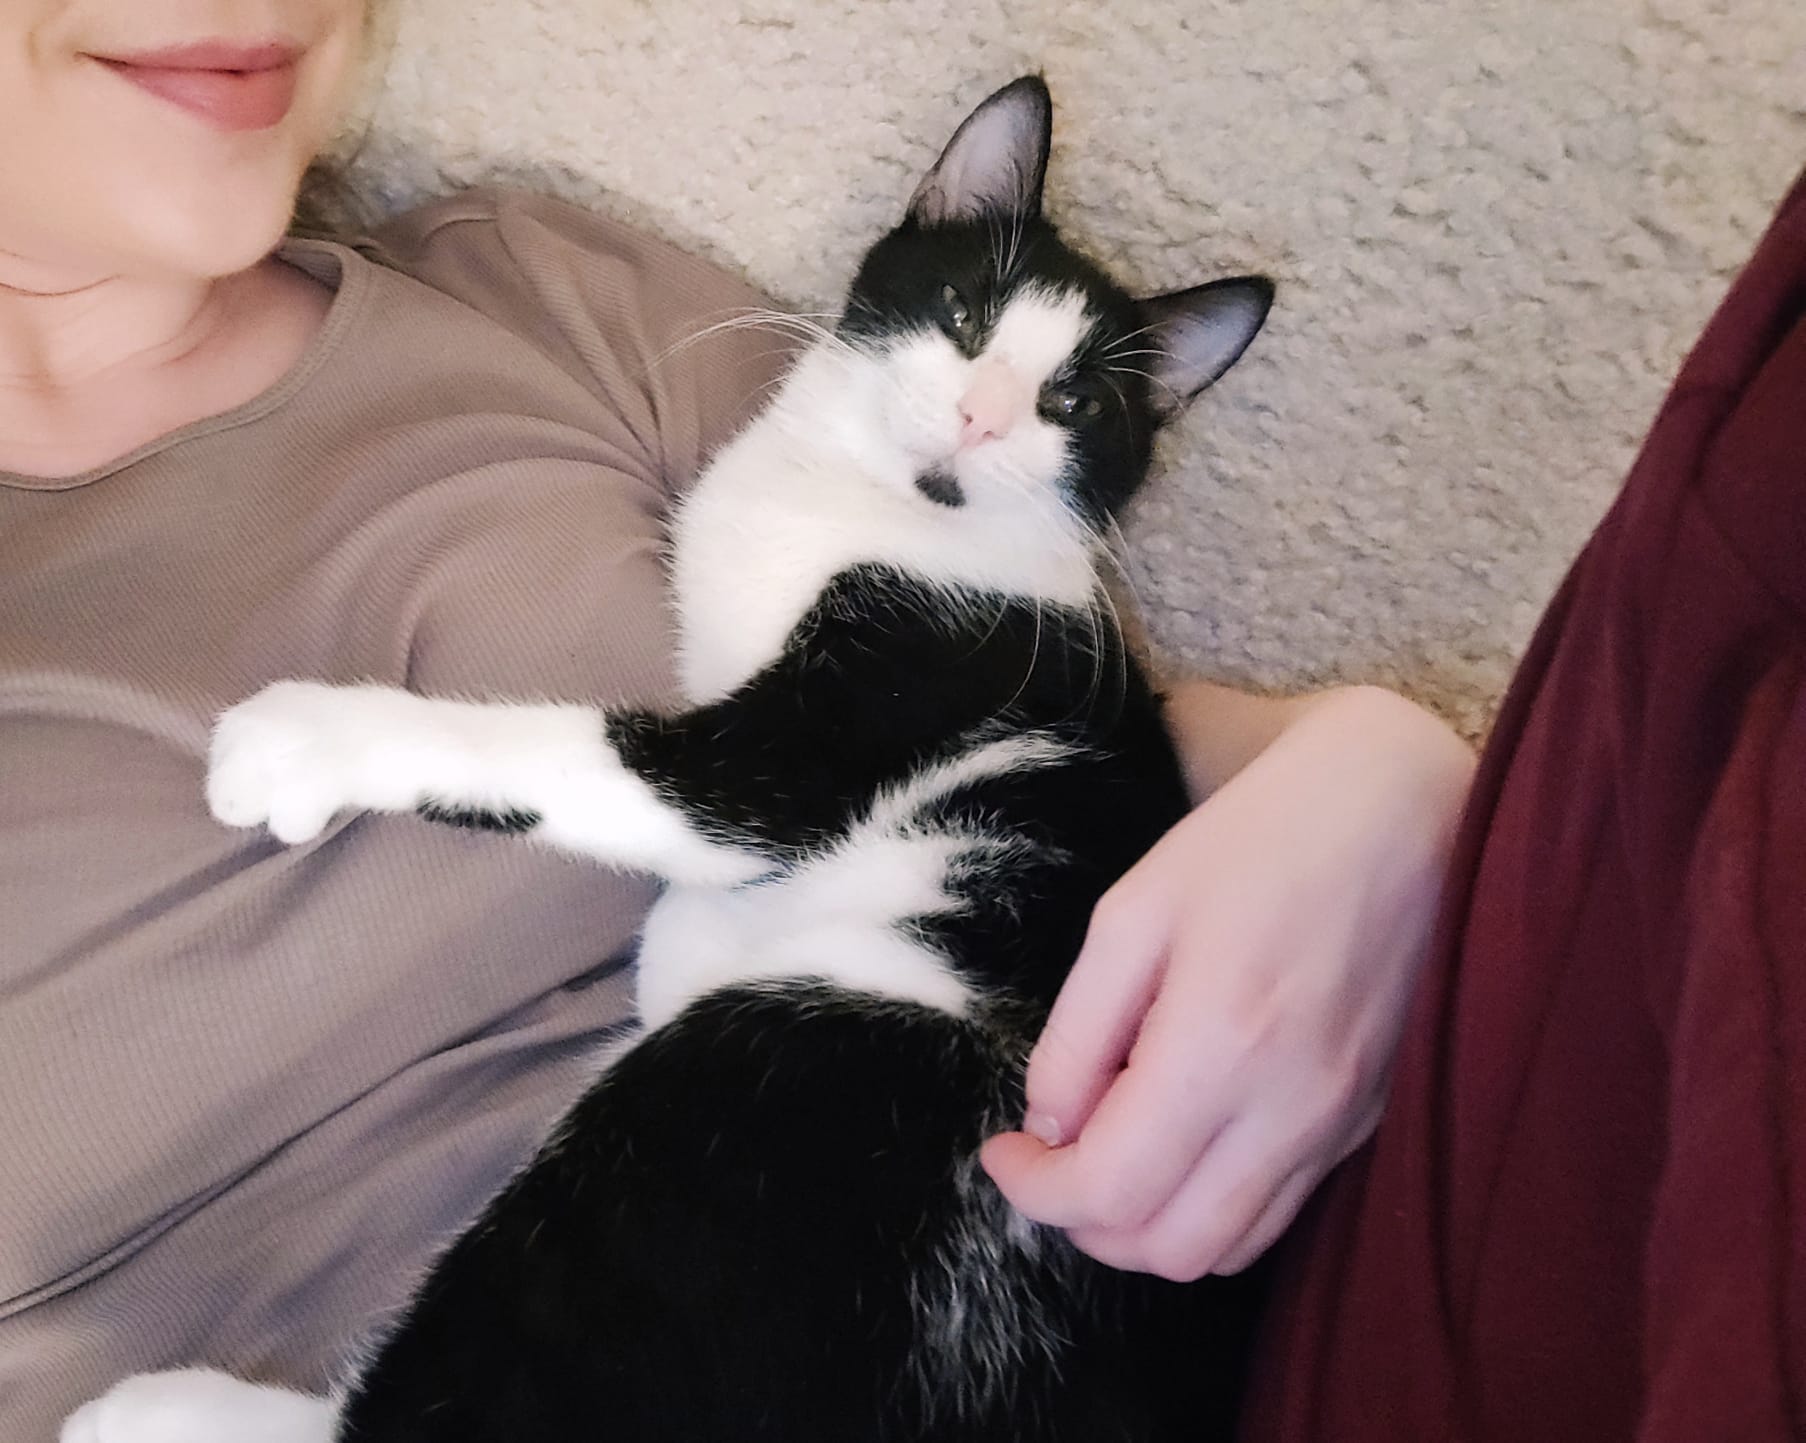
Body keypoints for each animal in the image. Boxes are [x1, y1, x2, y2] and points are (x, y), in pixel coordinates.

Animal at [65, 76, 1273, 1443]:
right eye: (966, 314)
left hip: (793, 1072)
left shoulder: (878, 701)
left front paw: (301, 740)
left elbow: (586, 760)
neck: (869, 509)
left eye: (1073, 405)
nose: (980, 415)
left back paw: (156, 1407)